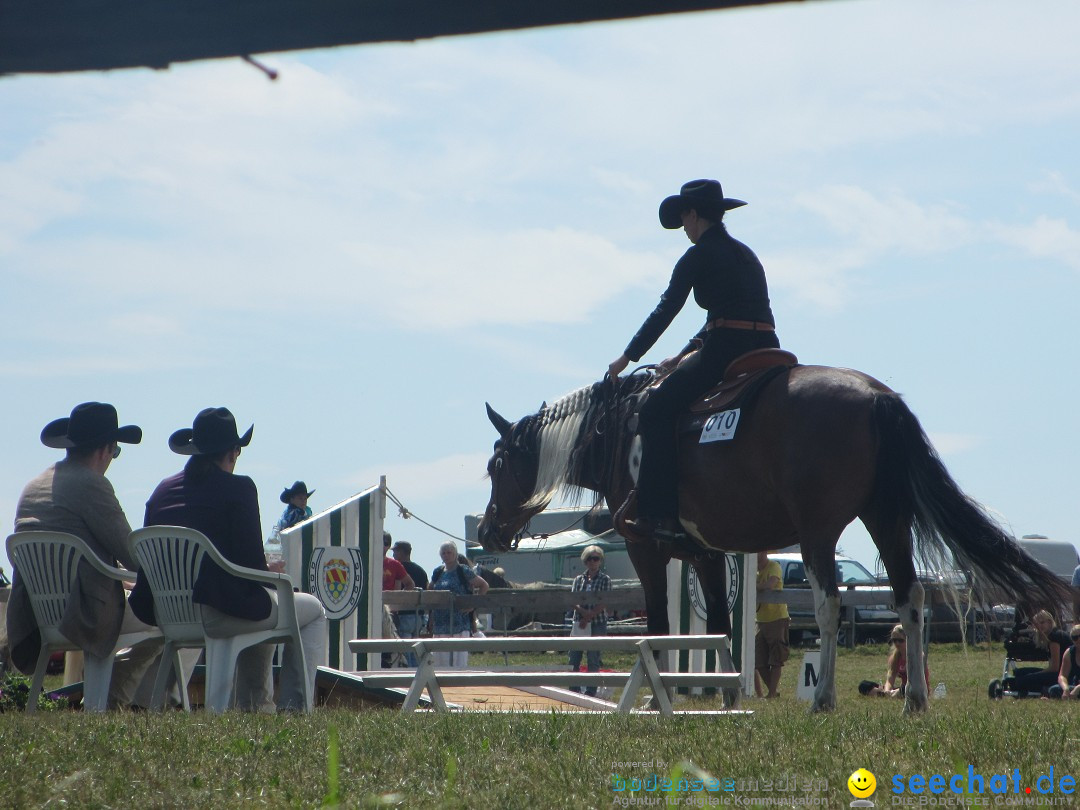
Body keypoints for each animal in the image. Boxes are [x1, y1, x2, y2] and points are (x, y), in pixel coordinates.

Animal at [477, 365, 1067, 712]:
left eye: (496, 465)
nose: (487, 530)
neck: (622, 433)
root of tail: (878, 398)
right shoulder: (702, 550)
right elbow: (716, 622)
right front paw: (719, 695)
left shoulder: (649, 547)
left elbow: (663, 620)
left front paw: (656, 694)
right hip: (886, 520)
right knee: (910, 596)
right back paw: (915, 701)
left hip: (819, 532)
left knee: (830, 604)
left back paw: (823, 697)